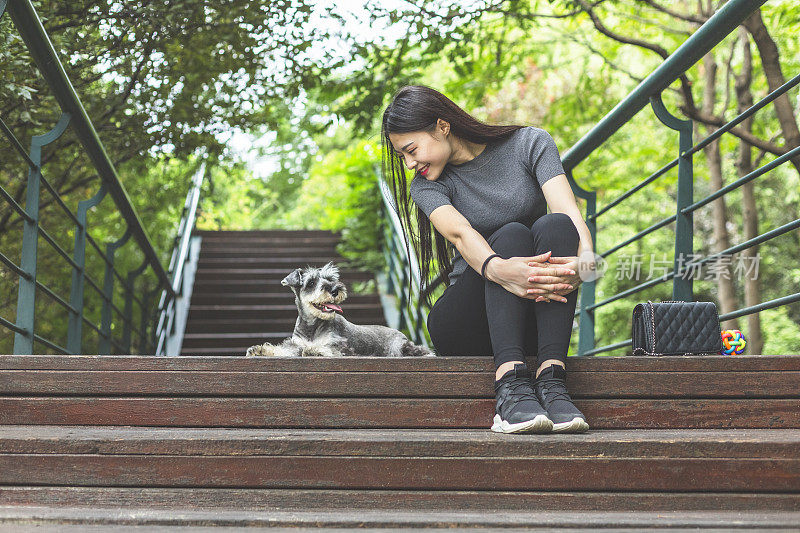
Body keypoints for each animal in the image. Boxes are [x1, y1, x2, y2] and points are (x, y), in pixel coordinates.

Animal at [247, 260, 434, 358]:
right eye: (311, 283)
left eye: (330, 279)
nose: (335, 290)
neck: (312, 326)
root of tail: (401, 333)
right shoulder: (295, 344)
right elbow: (285, 349)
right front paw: (261, 350)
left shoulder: (341, 347)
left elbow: (327, 349)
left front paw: (313, 350)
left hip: (402, 347)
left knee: (422, 351)